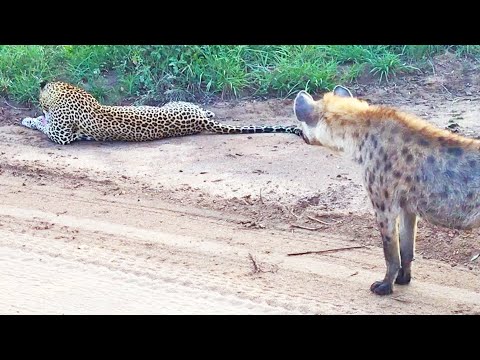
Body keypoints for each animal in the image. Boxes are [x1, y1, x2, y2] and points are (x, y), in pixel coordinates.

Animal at [292, 84, 480, 296]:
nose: (300, 134)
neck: (360, 137)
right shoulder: (408, 206)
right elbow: (406, 249)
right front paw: (403, 279)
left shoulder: (384, 203)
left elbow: (390, 250)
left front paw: (383, 286)